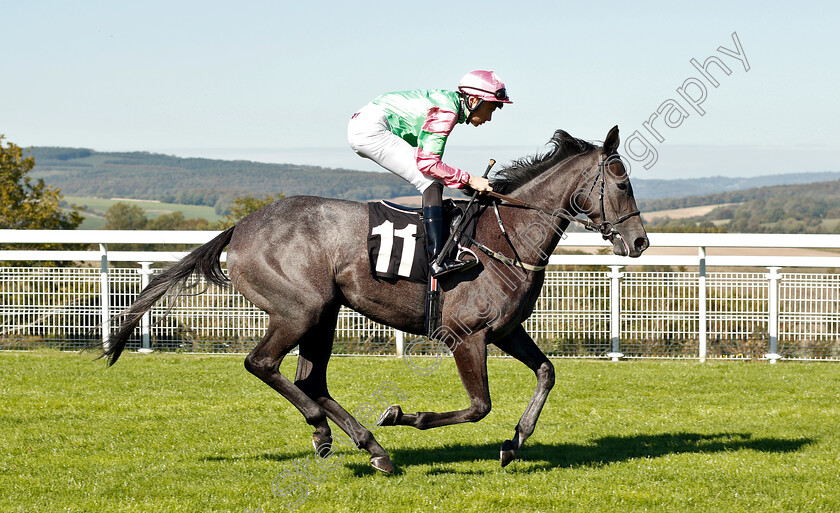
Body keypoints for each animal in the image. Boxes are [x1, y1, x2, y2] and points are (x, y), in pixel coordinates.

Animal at [98, 124, 648, 472]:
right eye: (621, 181)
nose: (640, 242)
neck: (505, 234)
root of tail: (242, 225)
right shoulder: (465, 336)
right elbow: (478, 406)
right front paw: (408, 416)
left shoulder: (505, 331)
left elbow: (547, 373)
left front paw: (514, 444)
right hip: (301, 310)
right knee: (263, 364)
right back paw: (337, 432)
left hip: (325, 314)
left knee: (310, 378)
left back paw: (364, 445)